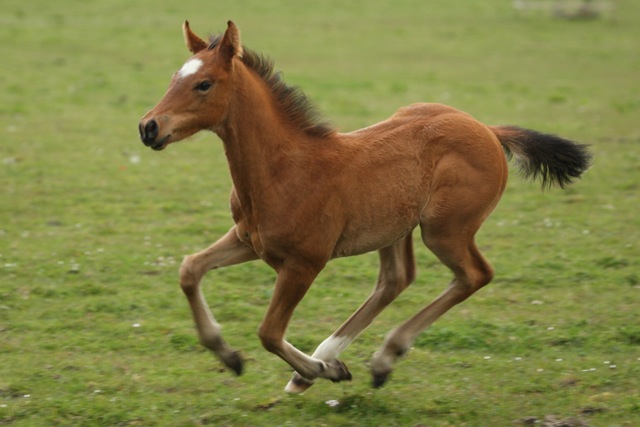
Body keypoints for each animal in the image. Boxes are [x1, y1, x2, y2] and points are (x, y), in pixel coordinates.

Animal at [138, 21, 591, 393]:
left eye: (204, 84)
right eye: (174, 77)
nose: (149, 127)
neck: (283, 169)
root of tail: (488, 130)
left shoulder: (304, 262)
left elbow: (268, 332)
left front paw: (321, 371)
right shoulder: (248, 240)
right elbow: (189, 269)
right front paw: (230, 356)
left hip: (444, 230)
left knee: (474, 275)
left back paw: (375, 359)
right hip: (395, 226)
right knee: (396, 279)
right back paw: (327, 361)